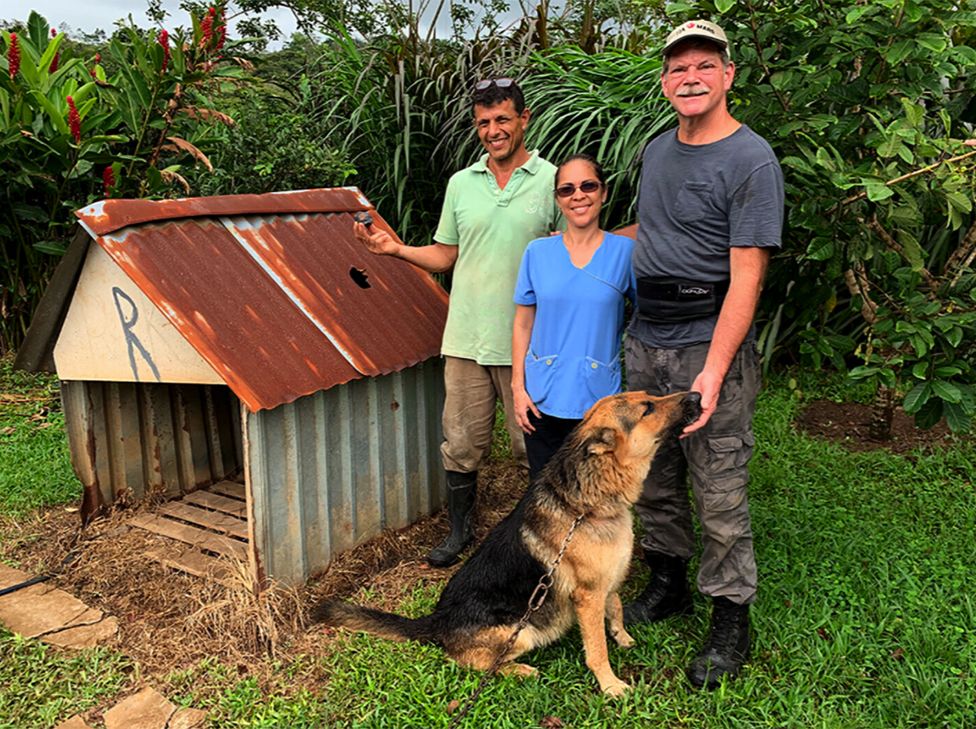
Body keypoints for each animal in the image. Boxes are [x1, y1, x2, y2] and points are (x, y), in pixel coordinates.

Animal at [312, 392, 700, 692]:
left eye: (649, 398)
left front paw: (622, 637)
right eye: (647, 408)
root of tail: (436, 620)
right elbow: (596, 649)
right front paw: (610, 685)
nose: (696, 396)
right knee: (471, 662)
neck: (586, 504)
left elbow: (616, 608)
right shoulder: (587, 596)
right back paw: (520, 670)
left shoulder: (607, 582)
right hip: (522, 631)